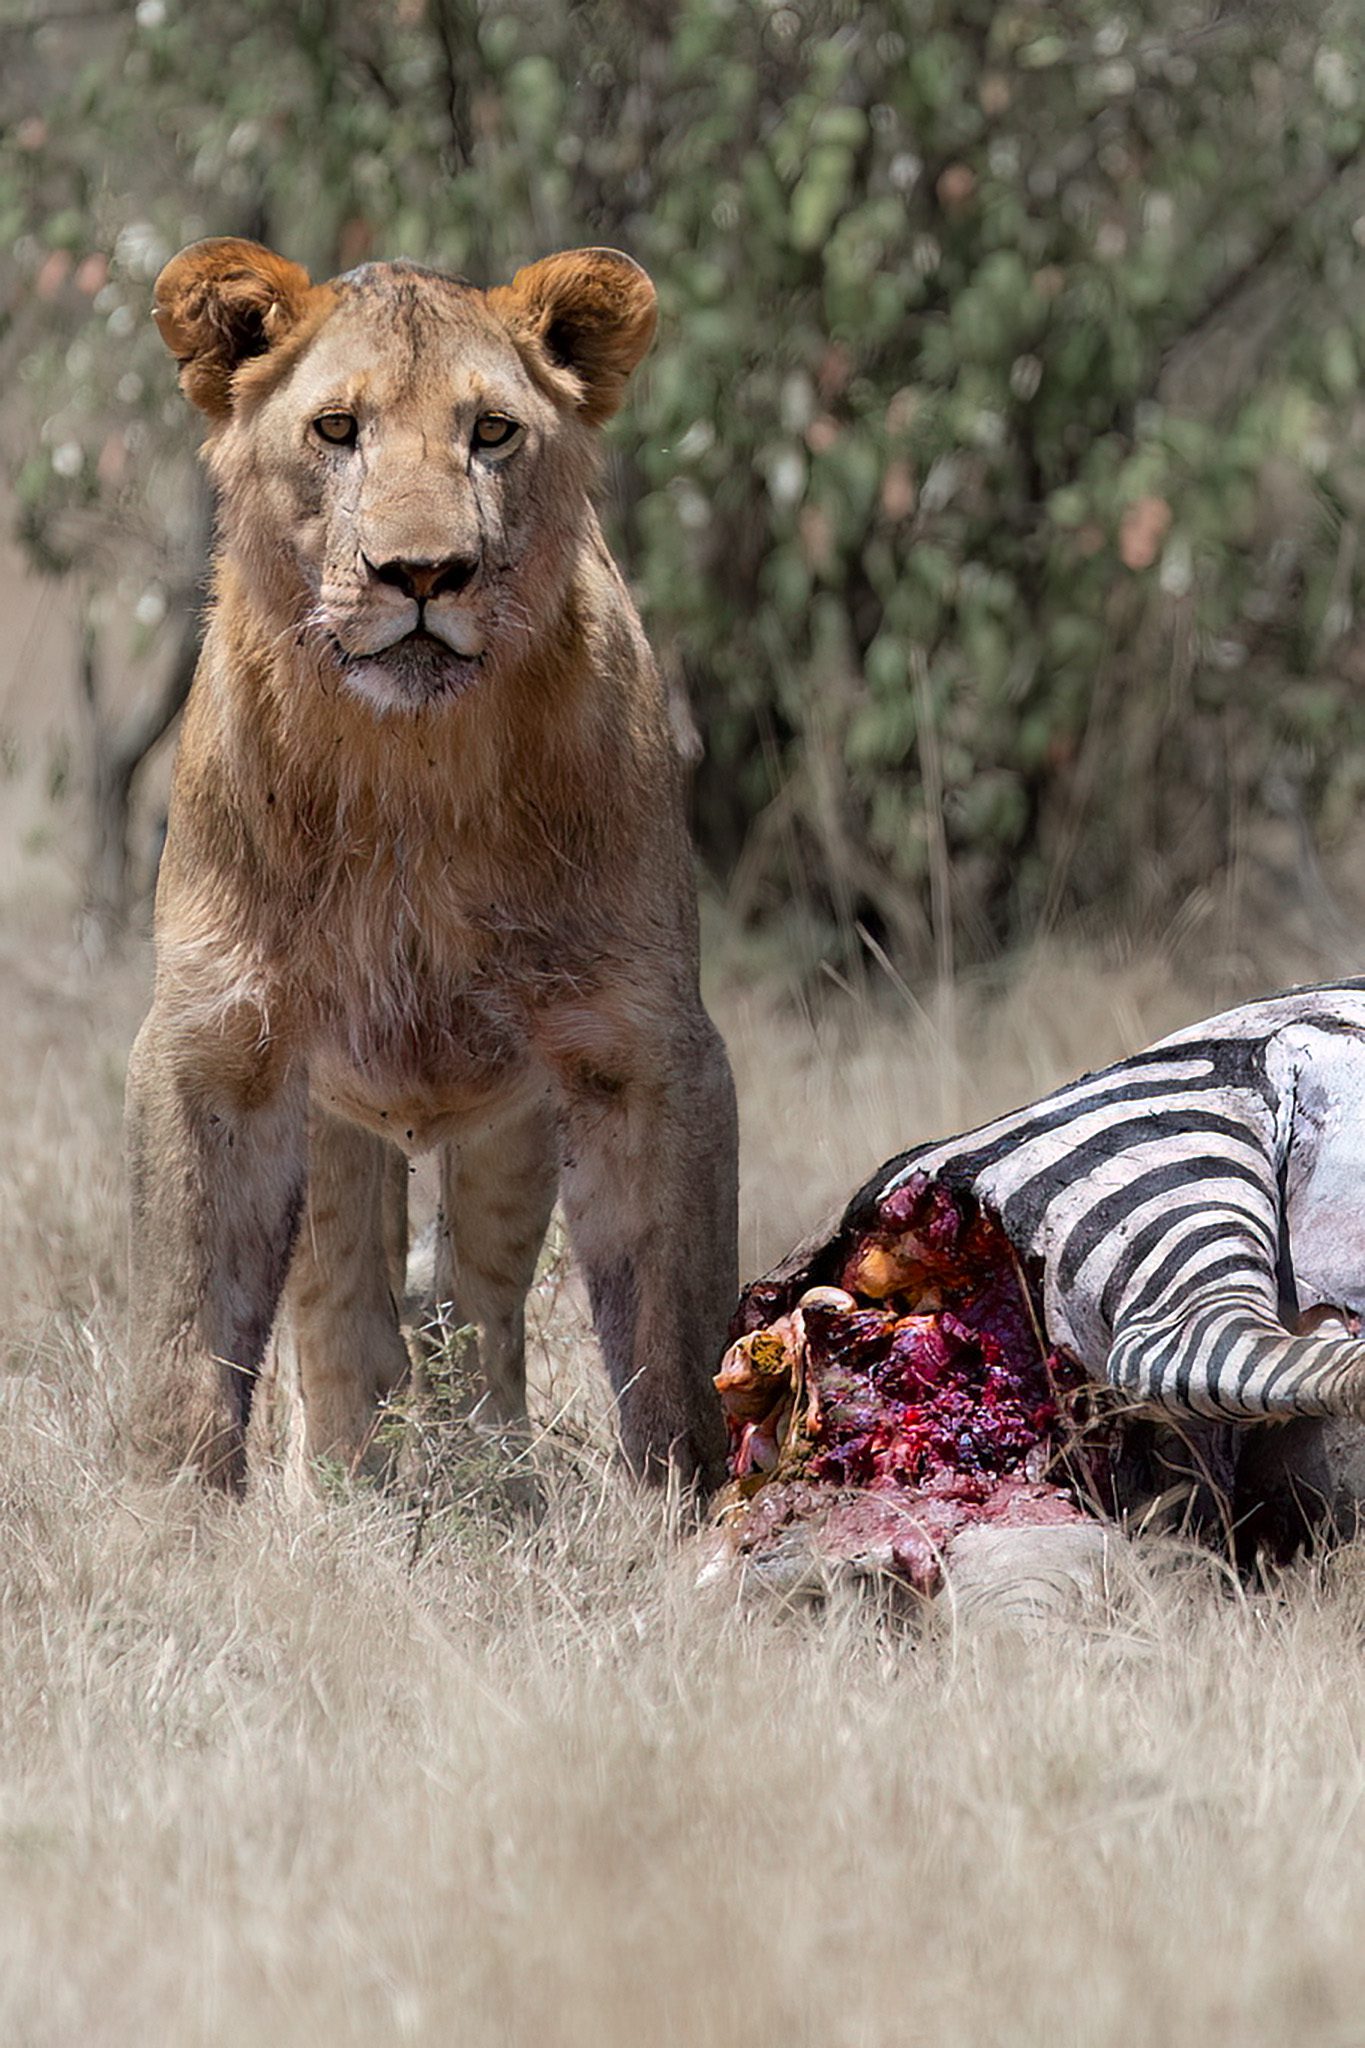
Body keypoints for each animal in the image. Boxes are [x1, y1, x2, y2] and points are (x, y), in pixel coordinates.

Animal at [127, 235, 740, 1490]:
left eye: (493, 432)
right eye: (337, 429)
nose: (422, 572)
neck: (408, 763)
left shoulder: (643, 1048)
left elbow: (673, 1342)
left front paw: (702, 1519)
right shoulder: (217, 1040)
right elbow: (190, 1338)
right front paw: (165, 1518)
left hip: (513, 1126)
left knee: (480, 1302)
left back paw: (487, 1474)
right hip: (331, 1117)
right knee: (342, 1307)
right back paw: (346, 1483)